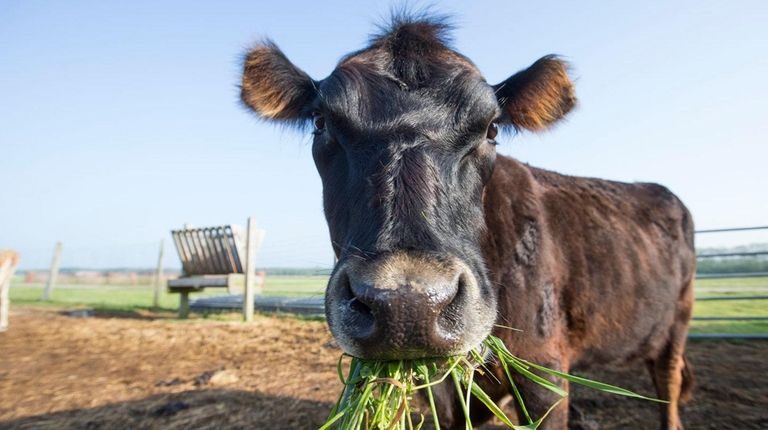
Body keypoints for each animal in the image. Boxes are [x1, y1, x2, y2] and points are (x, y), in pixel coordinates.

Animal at [240, 13, 696, 430]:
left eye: (492, 129)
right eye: (320, 123)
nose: (408, 305)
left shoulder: (545, 371)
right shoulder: (446, 392)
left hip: (679, 318)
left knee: (668, 383)